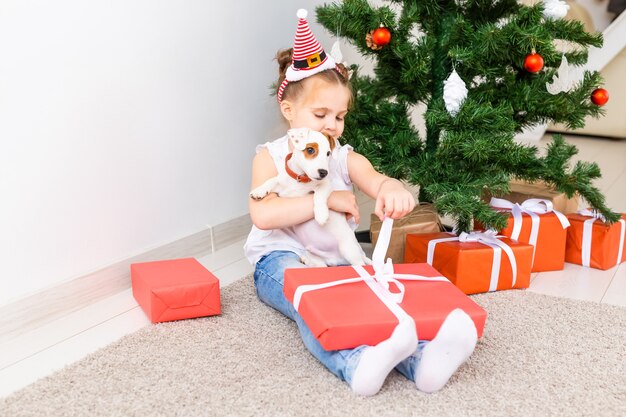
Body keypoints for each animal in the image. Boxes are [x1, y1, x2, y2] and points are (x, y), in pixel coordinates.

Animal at [249, 127, 370, 266]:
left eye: (328, 153)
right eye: (310, 150)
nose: (324, 172)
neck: (300, 179)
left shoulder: (325, 184)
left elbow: (319, 195)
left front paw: (321, 214)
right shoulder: (282, 189)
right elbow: (271, 180)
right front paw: (259, 191)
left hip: (349, 250)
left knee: (359, 264)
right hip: (316, 257)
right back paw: (306, 260)